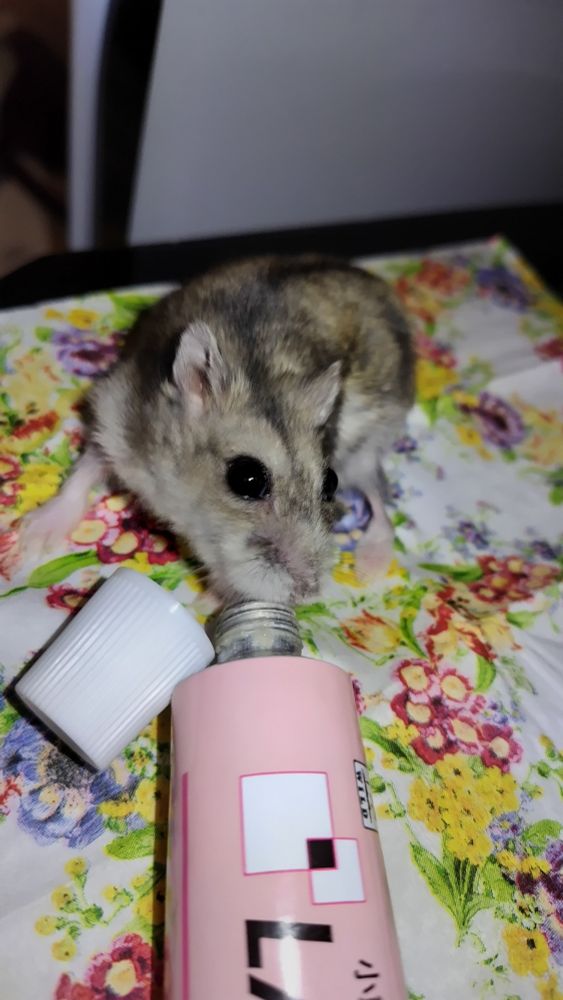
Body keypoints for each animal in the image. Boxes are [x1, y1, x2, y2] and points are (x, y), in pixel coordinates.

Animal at [14, 256, 414, 603]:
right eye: (247, 478)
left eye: (329, 483)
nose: (307, 594)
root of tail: (382, 290)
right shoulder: (118, 421)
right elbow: (85, 470)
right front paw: (25, 544)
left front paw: (204, 604)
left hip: (365, 449)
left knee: (380, 500)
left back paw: (370, 568)